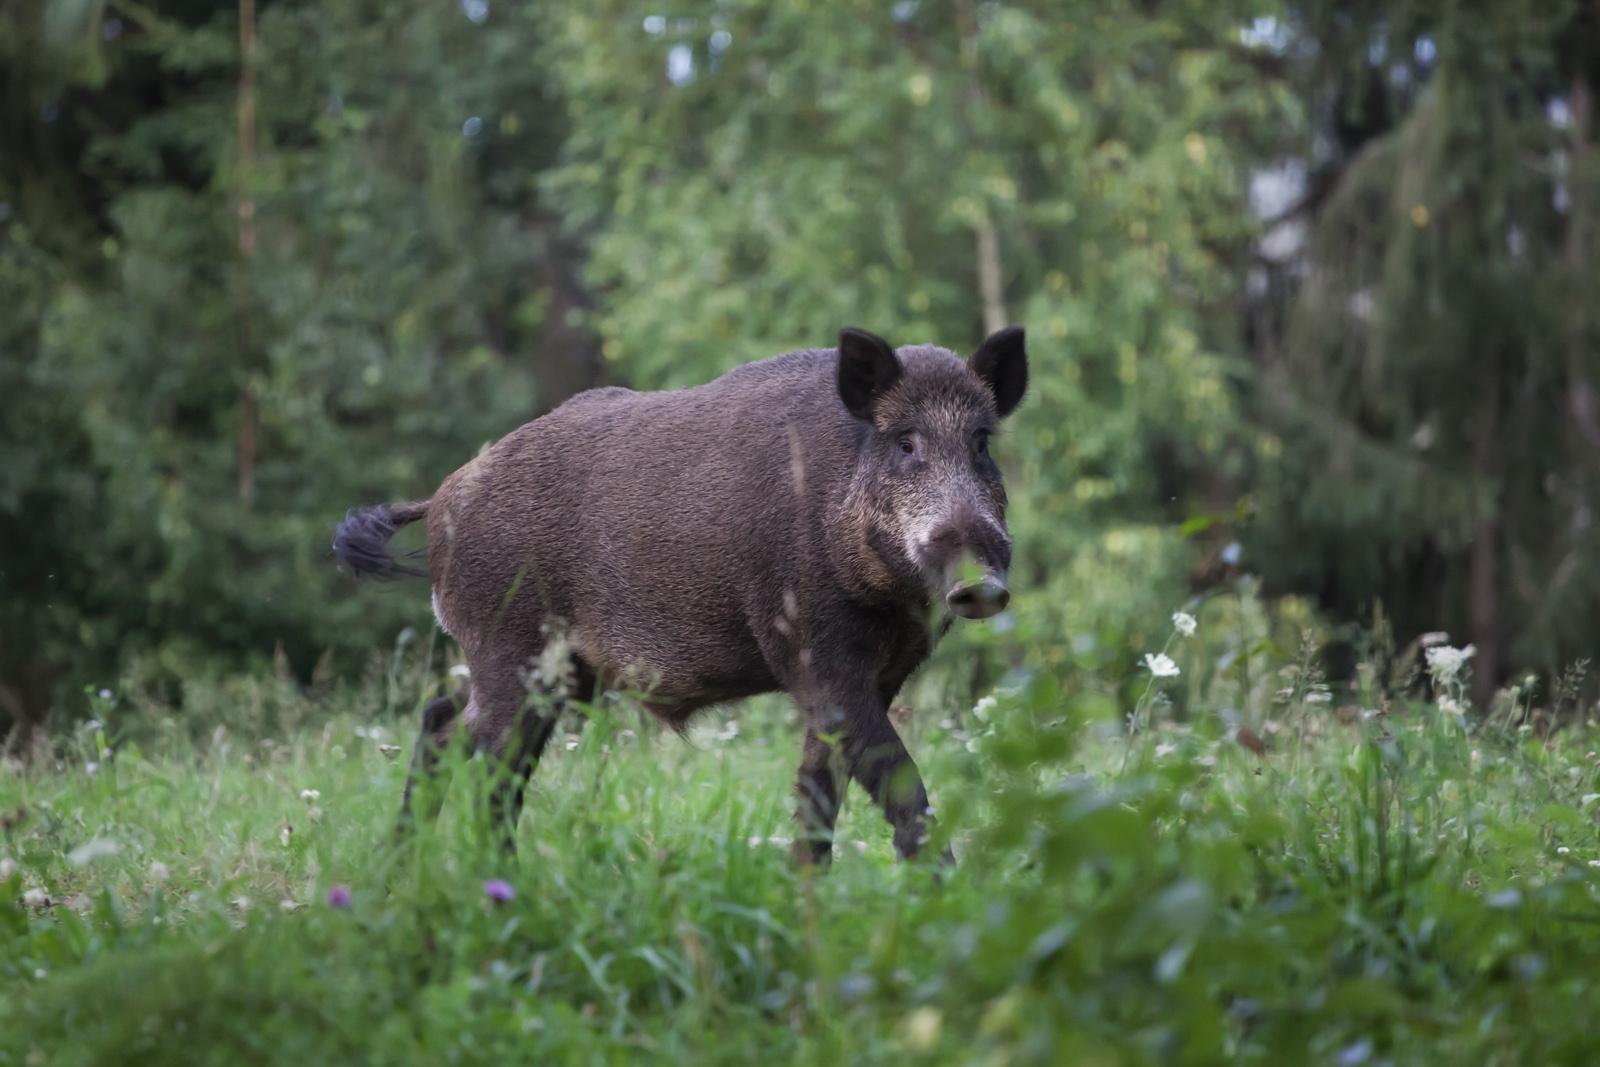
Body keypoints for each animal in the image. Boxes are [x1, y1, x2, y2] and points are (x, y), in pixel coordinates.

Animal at [333, 325, 1027, 865]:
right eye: (906, 442)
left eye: (981, 443)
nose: (980, 584)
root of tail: (441, 497)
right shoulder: (816, 656)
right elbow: (903, 791)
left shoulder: (879, 674)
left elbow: (817, 802)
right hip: (512, 650)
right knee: (487, 767)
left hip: (558, 673)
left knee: (444, 721)